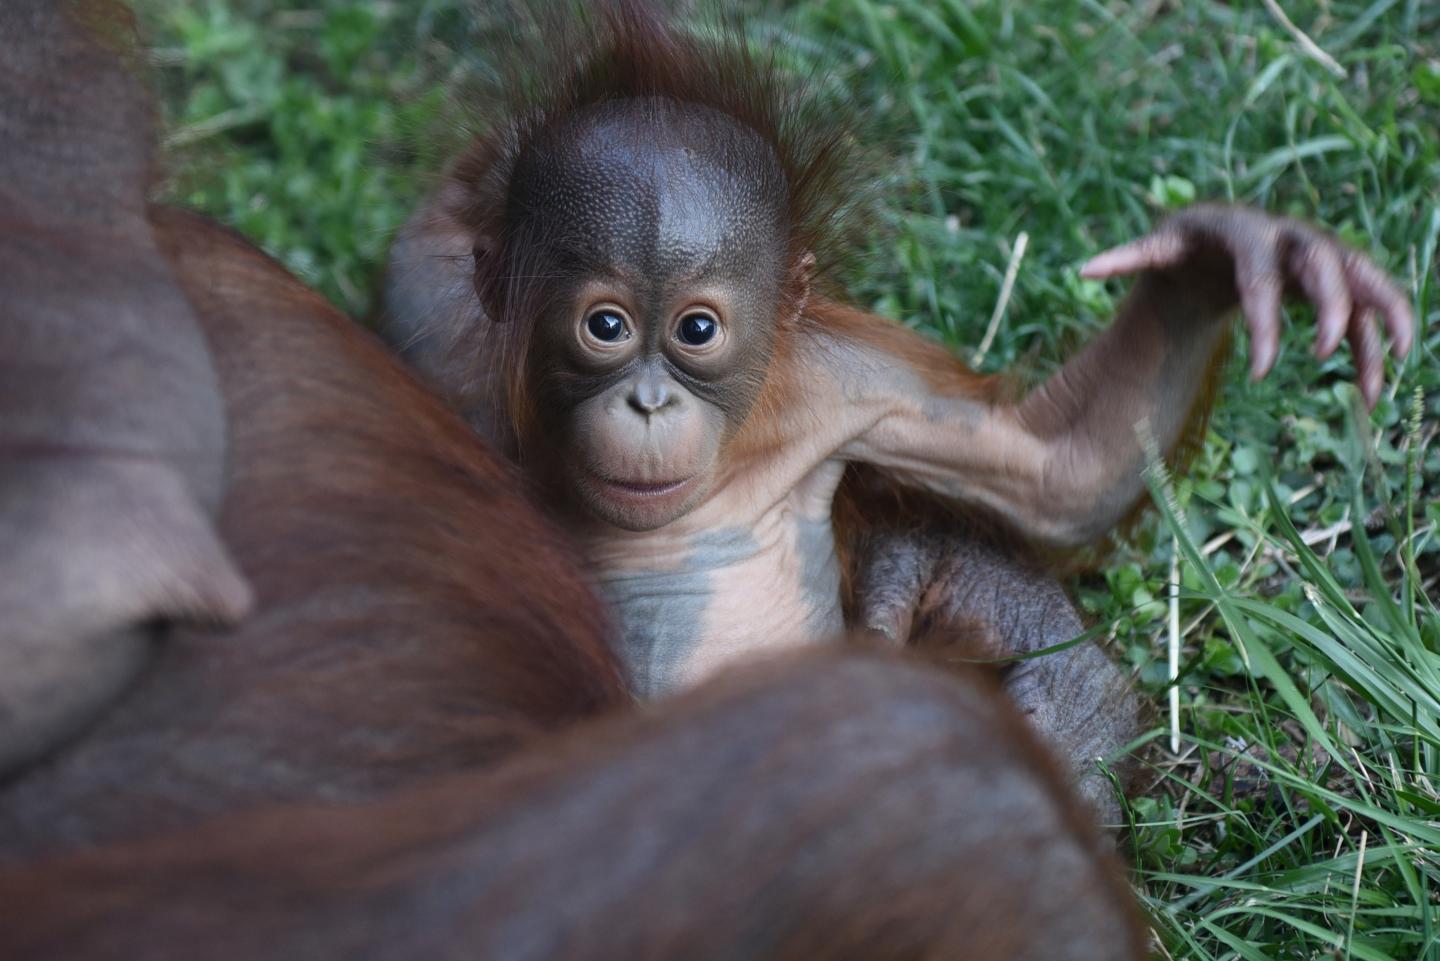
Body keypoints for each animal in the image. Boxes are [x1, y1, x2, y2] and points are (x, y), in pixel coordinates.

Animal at [381, 5, 1411, 705]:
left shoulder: (854, 391)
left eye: (697, 330)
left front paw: (1218, 264)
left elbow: (1059, 473)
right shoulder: (458, 381)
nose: (647, 403)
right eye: (605, 327)